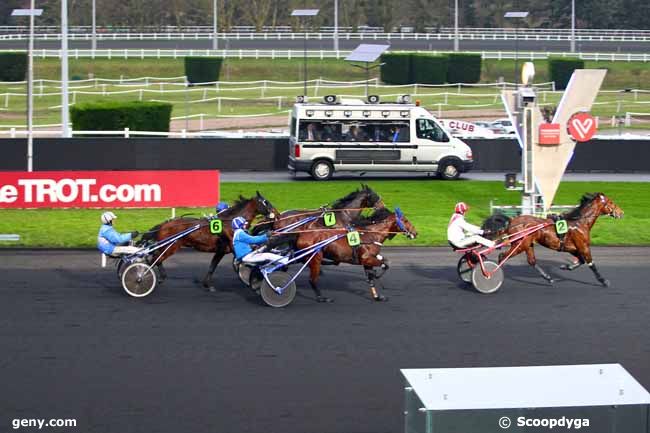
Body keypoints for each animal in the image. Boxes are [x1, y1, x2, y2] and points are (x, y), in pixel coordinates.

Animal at [140, 192, 278, 286]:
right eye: (265, 202)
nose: (276, 214)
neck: (231, 222)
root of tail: (163, 225)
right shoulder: (233, 246)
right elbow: (243, 261)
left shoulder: (221, 250)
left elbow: (213, 266)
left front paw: (207, 284)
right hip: (171, 246)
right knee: (155, 259)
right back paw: (150, 276)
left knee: (155, 258)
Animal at [286, 207, 418, 302]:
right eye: (405, 220)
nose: (415, 233)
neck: (371, 234)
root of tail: (301, 234)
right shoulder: (366, 259)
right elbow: (385, 264)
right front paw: (377, 275)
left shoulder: (368, 261)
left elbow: (372, 277)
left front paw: (377, 296)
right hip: (315, 258)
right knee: (312, 280)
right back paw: (321, 298)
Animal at [484, 192, 620, 286]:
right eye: (611, 202)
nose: (621, 212)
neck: (579, 222)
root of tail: (512, 221)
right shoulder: (583, 246)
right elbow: (590, 263)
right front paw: (603, 281)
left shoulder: (571, 248)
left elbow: (580, 260)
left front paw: (566, 267)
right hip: (519, 244)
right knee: (502, 256)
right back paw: (493, 273)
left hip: (527, 244)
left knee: (532, 261)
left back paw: (548, 278)